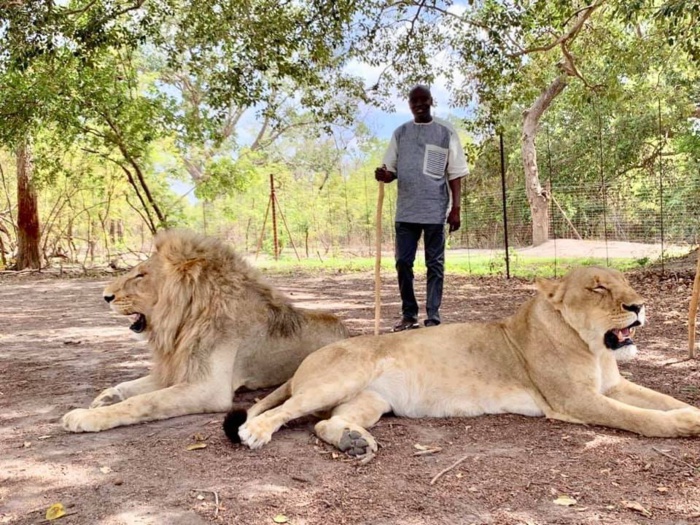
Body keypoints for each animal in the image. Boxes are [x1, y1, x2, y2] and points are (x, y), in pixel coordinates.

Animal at [63, 227, 350, 432]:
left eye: (140, 275)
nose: (105, 296)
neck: (183, 322)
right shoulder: (177, 370)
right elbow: (129, 387)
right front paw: (105, 397)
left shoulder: (208, 388)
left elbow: (144, 401)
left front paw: (85, 417)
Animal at [224, 266, 700, 454]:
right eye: (598, 288)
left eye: (626, 283)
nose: (639, 306)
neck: (595, 350)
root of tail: (306, 362)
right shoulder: (574, 401)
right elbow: (641, 418)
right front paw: (684, 425)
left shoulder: (614, 386)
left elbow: (660, 400)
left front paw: (690, 412)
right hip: (341, 377)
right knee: (282, 411)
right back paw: (256, 433)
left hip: (370, 400)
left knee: (325, 423)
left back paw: (354, 442)